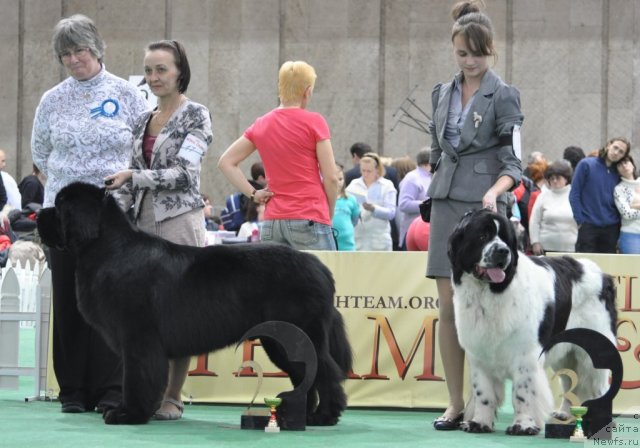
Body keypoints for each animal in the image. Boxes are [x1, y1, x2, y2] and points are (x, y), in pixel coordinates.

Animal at [37, 183, 352, 428]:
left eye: (60, 206)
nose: (38, 214)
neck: (109, 249)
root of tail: (320, 268)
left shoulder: (138, 338)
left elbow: (137, 378)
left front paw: (128, 413)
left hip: (295, 334)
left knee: (325, 372)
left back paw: (324, 416)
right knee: (306, 375)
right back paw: (304, 417)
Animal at [448, 208, 616, 436]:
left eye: (506, 239)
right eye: (482, 236)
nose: (503, 251)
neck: (490, 292)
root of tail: (603, 275)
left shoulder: (525, 356)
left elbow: (522, 393)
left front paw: (523, 425)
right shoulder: (479, 354)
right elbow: (484, 393)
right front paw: (479, 423)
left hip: (593, 349)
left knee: (599, 385)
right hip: (566, 351)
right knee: (570, 381)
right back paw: (565, 413)